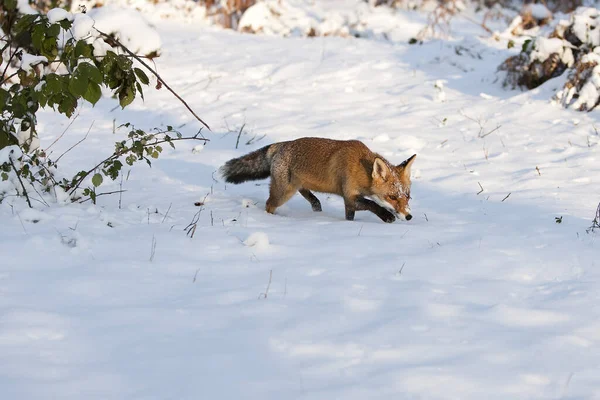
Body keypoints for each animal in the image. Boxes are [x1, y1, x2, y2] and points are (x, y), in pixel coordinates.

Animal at [220, 138, 418, 223]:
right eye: (392, 197)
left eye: (407, 197)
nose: (409, 216)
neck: (359, 166)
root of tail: (280, 144)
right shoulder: (350, 197)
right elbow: (372, 204)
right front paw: (386, 216)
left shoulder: (350, 202)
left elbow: (351, 216)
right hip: (283, 192)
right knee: (269, 204)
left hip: (297, 185)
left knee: (306, 193)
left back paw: (316, 205)